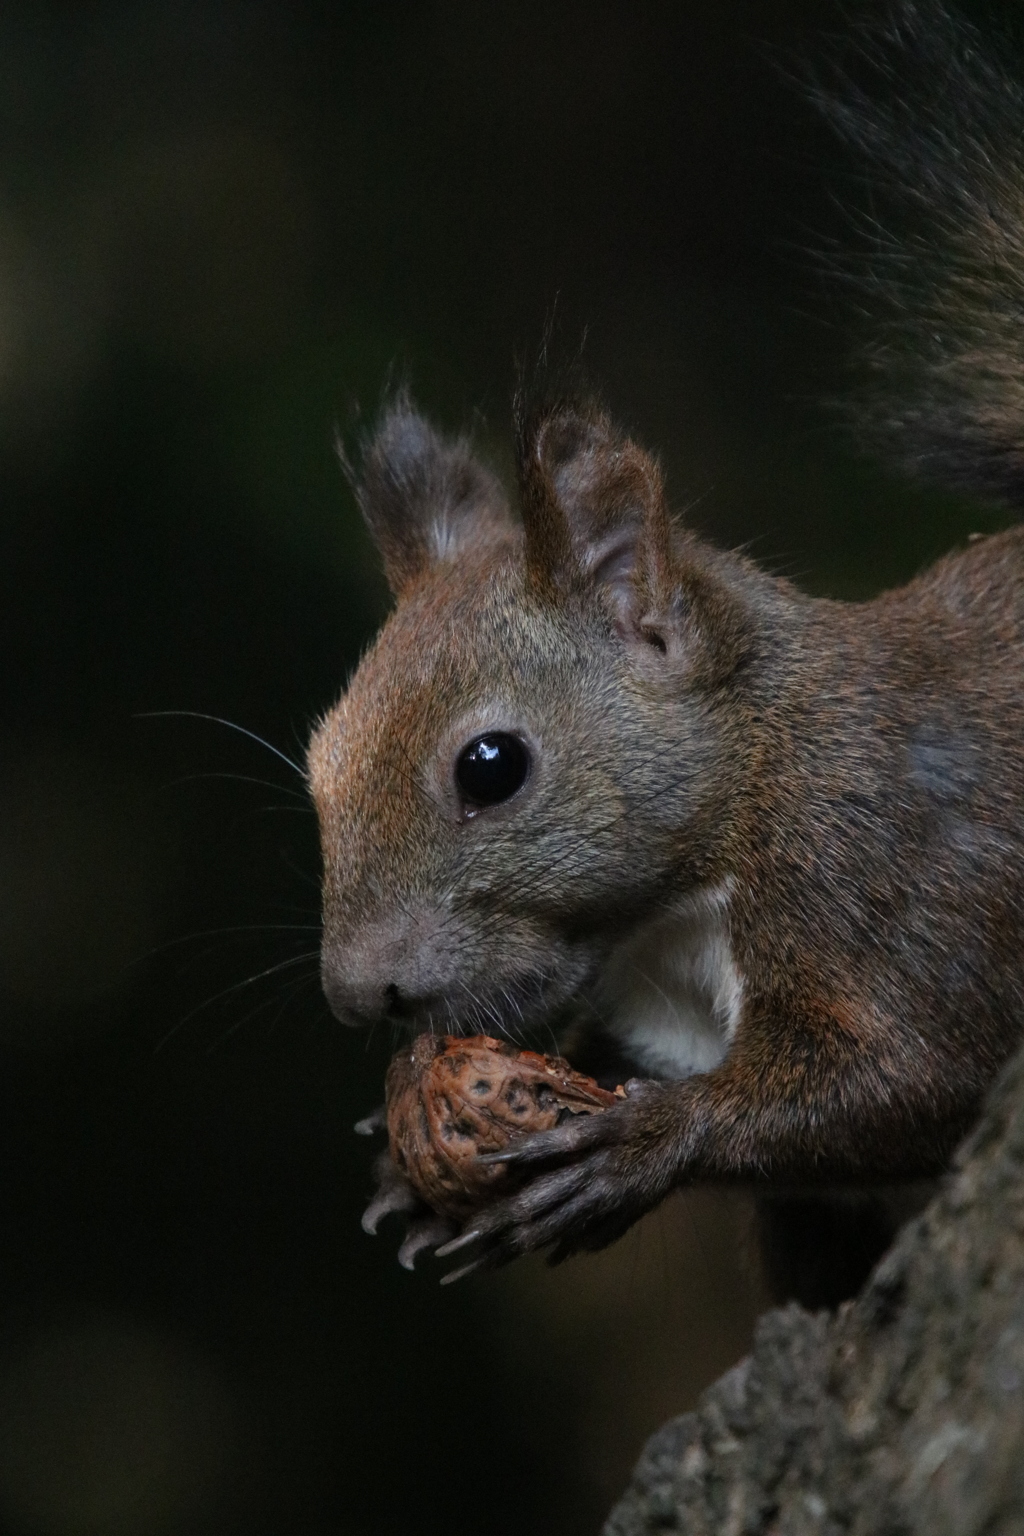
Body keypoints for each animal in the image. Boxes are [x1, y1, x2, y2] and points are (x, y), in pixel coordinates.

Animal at [308, 0, 1024, 1302]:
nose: (358, 995)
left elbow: (910, 1076)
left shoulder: (902, 888)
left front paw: (638, 1141)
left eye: (491, 767)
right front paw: (411, 1166)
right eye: (317, 764)